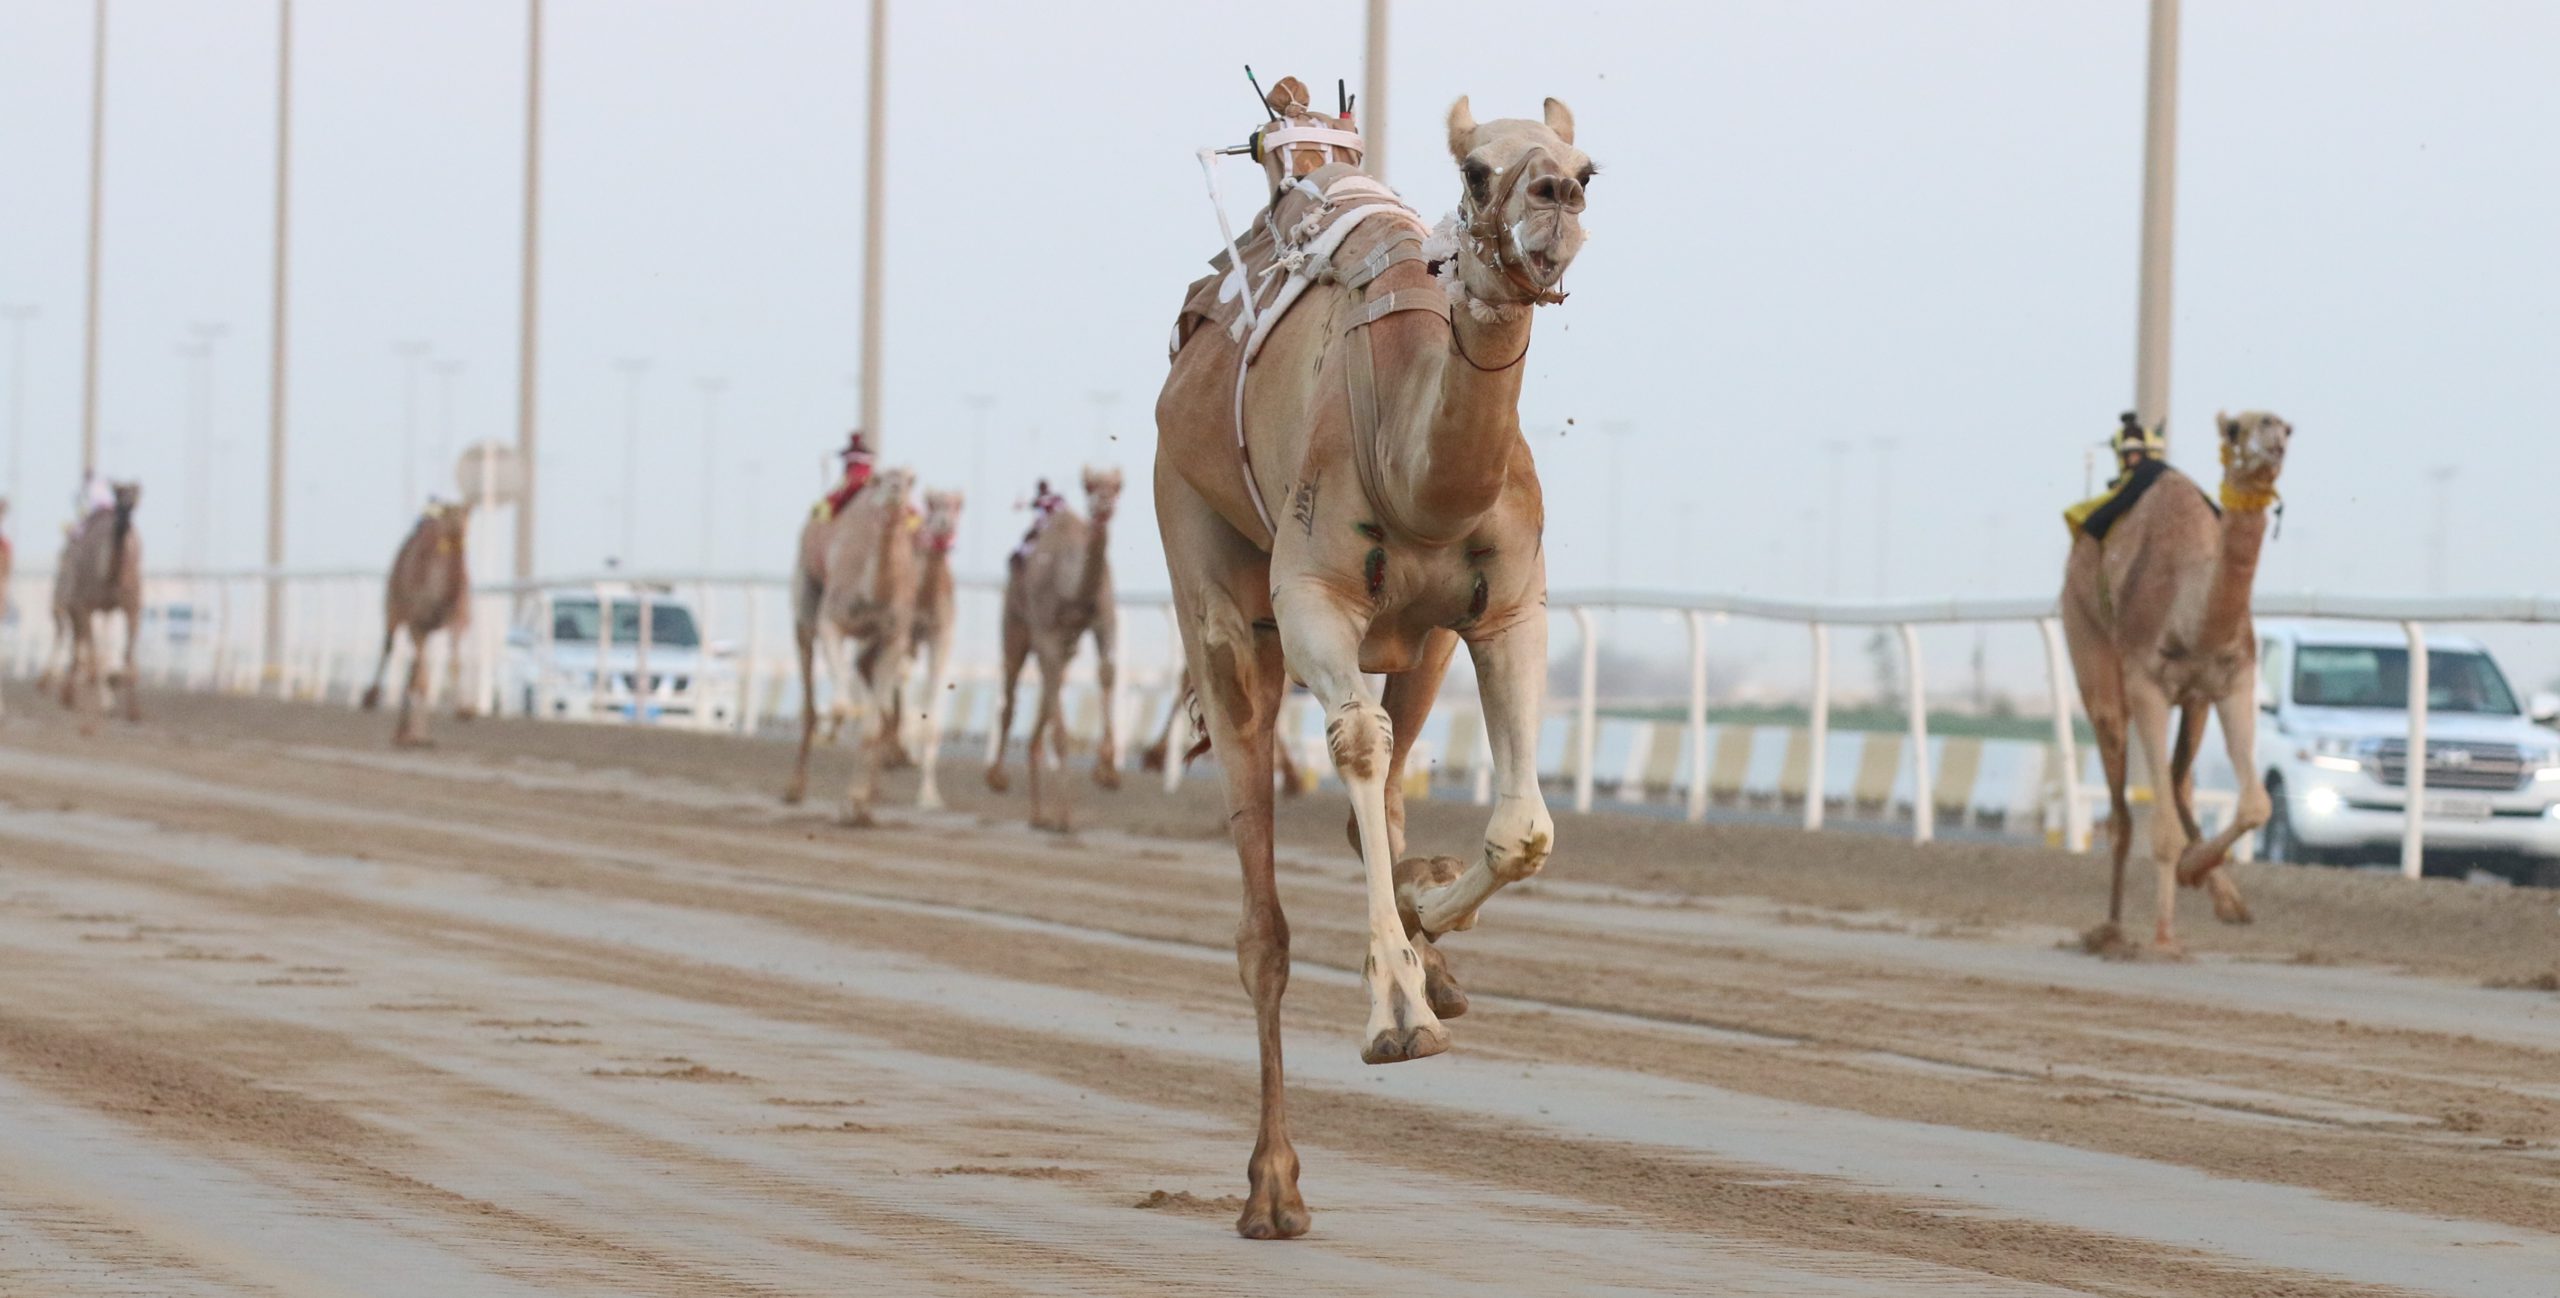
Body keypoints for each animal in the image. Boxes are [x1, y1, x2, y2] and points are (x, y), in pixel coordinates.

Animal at [360, 501, 476, 747]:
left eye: (467, 512)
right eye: (449, 512)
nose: (459, 527)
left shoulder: (455, 624)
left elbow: (454, 664)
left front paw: (464, 710)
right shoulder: (417, 624)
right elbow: (424, 681)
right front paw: (420, 737)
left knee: (413, 666)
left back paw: (402, 731)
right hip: (393, 605)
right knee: (389, 645)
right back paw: (372, 698)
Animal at [778, 473, 921, 829]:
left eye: (910, 479)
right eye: (884, 480)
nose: (895, 491)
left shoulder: (894, 639)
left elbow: (870, 728)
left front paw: (856, 806)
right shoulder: (832, 622)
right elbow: (841, 706)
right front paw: (832, 732)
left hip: (872, 649)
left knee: (870, 689)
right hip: (805, 606)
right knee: (809, 692)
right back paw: (793, 788)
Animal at [977, 468, 1121, 834]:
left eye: (1118, 486)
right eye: (1089, 486)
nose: (1104, 505)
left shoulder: (1103, 619)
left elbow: (1107, 673)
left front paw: (1107, 771)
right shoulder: (1045, 632)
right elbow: (1058, 726)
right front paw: (1067, 818)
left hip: (1065, 647)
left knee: (1048, 690)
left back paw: (1040, 814)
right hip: (1015, 623)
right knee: (1013, 690)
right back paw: (998, 778)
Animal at [1152, 91, 1587, 1239]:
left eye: (1586, 167)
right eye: (1477, 170)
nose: (1553, 201)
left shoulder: (1504, 607)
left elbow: (1524, 829)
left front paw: (1432, 935)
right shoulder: (1312, 597)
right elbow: (1354, 740)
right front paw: (1397, 1006)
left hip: (1421, 643)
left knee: (1380, 807)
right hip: (1207, 572)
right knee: (1262, 921)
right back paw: (1272, 1188)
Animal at [2058, 414, 2304, 957]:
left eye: (2287, 429)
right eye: (2235, 429)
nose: (2272, 440)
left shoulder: (2232, 682)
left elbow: (2256, 803)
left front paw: (2206, 881)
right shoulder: (2146, 685)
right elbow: (2163, 829)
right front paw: (2164, 935)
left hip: (2195, 703)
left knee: (2176, 780)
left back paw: (2220, 895)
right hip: (2089, 648)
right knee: (2122, 813)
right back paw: (2110, 929)